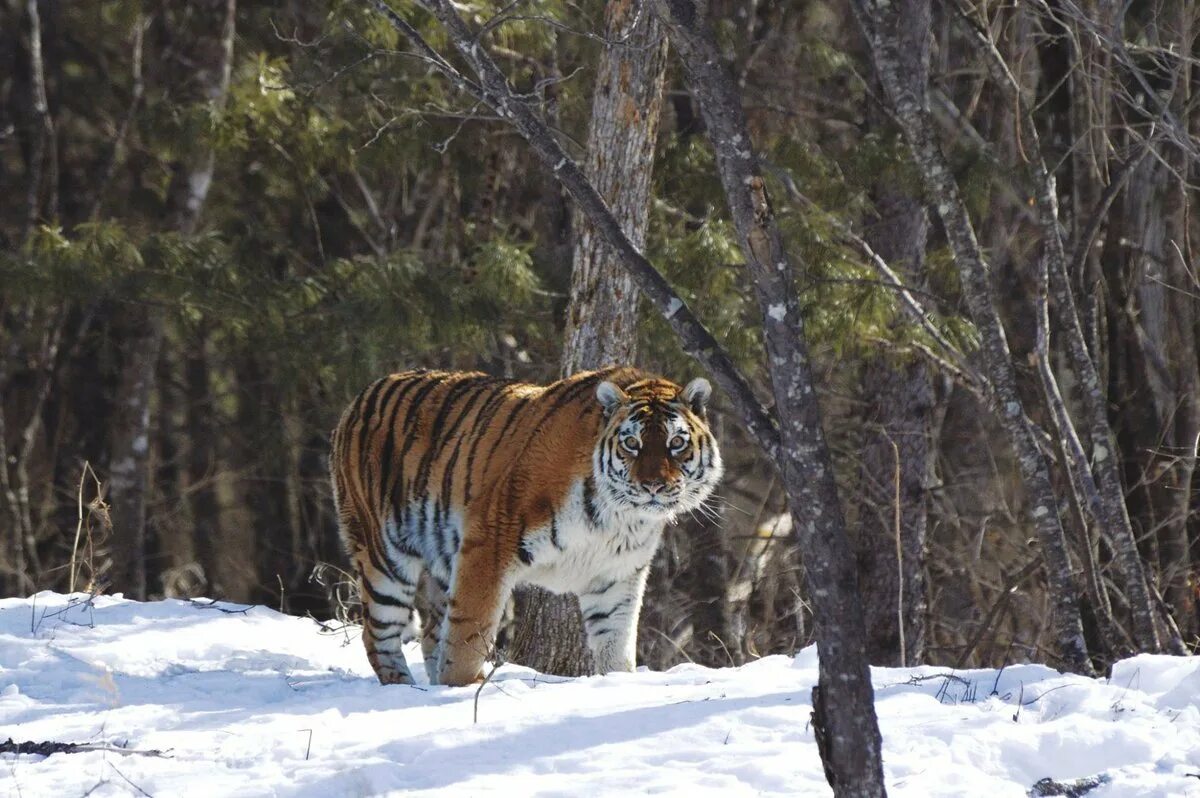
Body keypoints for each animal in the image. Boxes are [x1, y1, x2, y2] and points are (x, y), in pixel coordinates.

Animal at [328, 367, 720, 686]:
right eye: (632, 444)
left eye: (676, 443)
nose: (653, 486)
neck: (619, 518)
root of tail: (361, 395)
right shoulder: (488, 544)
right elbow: (470, 631)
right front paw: (464, 687)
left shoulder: (617, 574)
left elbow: (615, 642)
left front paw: (618, 684)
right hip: (384, 554)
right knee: (377, 634)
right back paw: (405, 690)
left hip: (441, 559)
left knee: (429, 634)